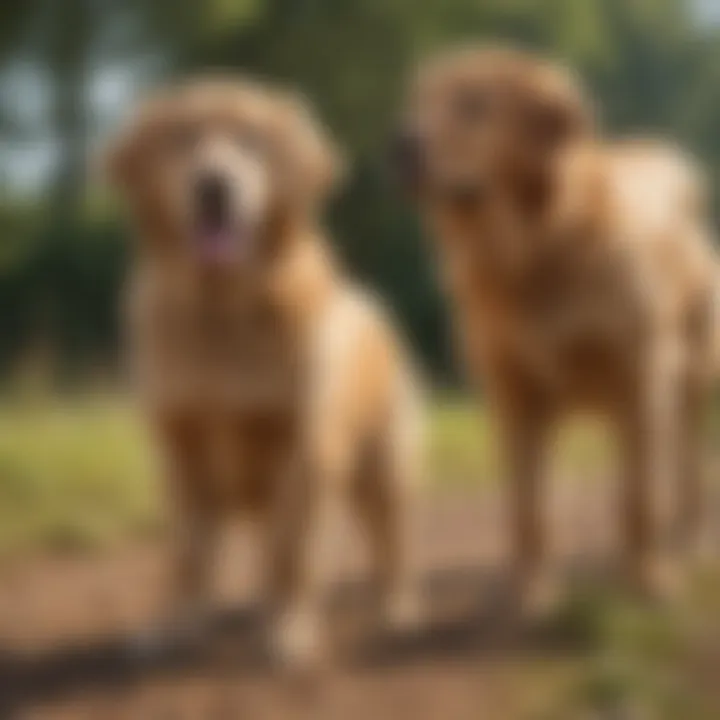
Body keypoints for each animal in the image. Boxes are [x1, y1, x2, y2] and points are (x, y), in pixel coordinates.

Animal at [106, 79, 422, 668]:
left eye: (251, 141)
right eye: (183, 137)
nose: (213, 185)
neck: (222, 308)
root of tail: (376, 305)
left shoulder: (298, 442)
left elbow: (292, 550)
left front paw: (290, 632)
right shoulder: (180, 446)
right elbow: (187, 556)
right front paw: (174, 628)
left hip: (384, 463)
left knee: (391, 543)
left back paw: (398, 610)